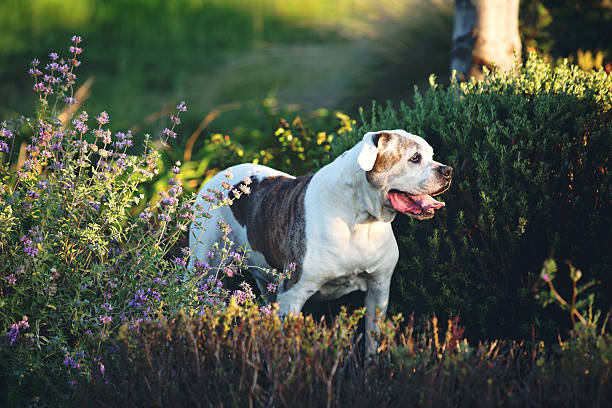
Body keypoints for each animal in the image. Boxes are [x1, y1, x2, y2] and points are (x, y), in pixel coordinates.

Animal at [189, 129, 452, 352]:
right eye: (415, 158)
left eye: (431, 155)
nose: (447, 170)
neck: (360, 218)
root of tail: (218, 176)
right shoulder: (292, 294)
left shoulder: (379, 289)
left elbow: (372, 340)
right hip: (202, 268)